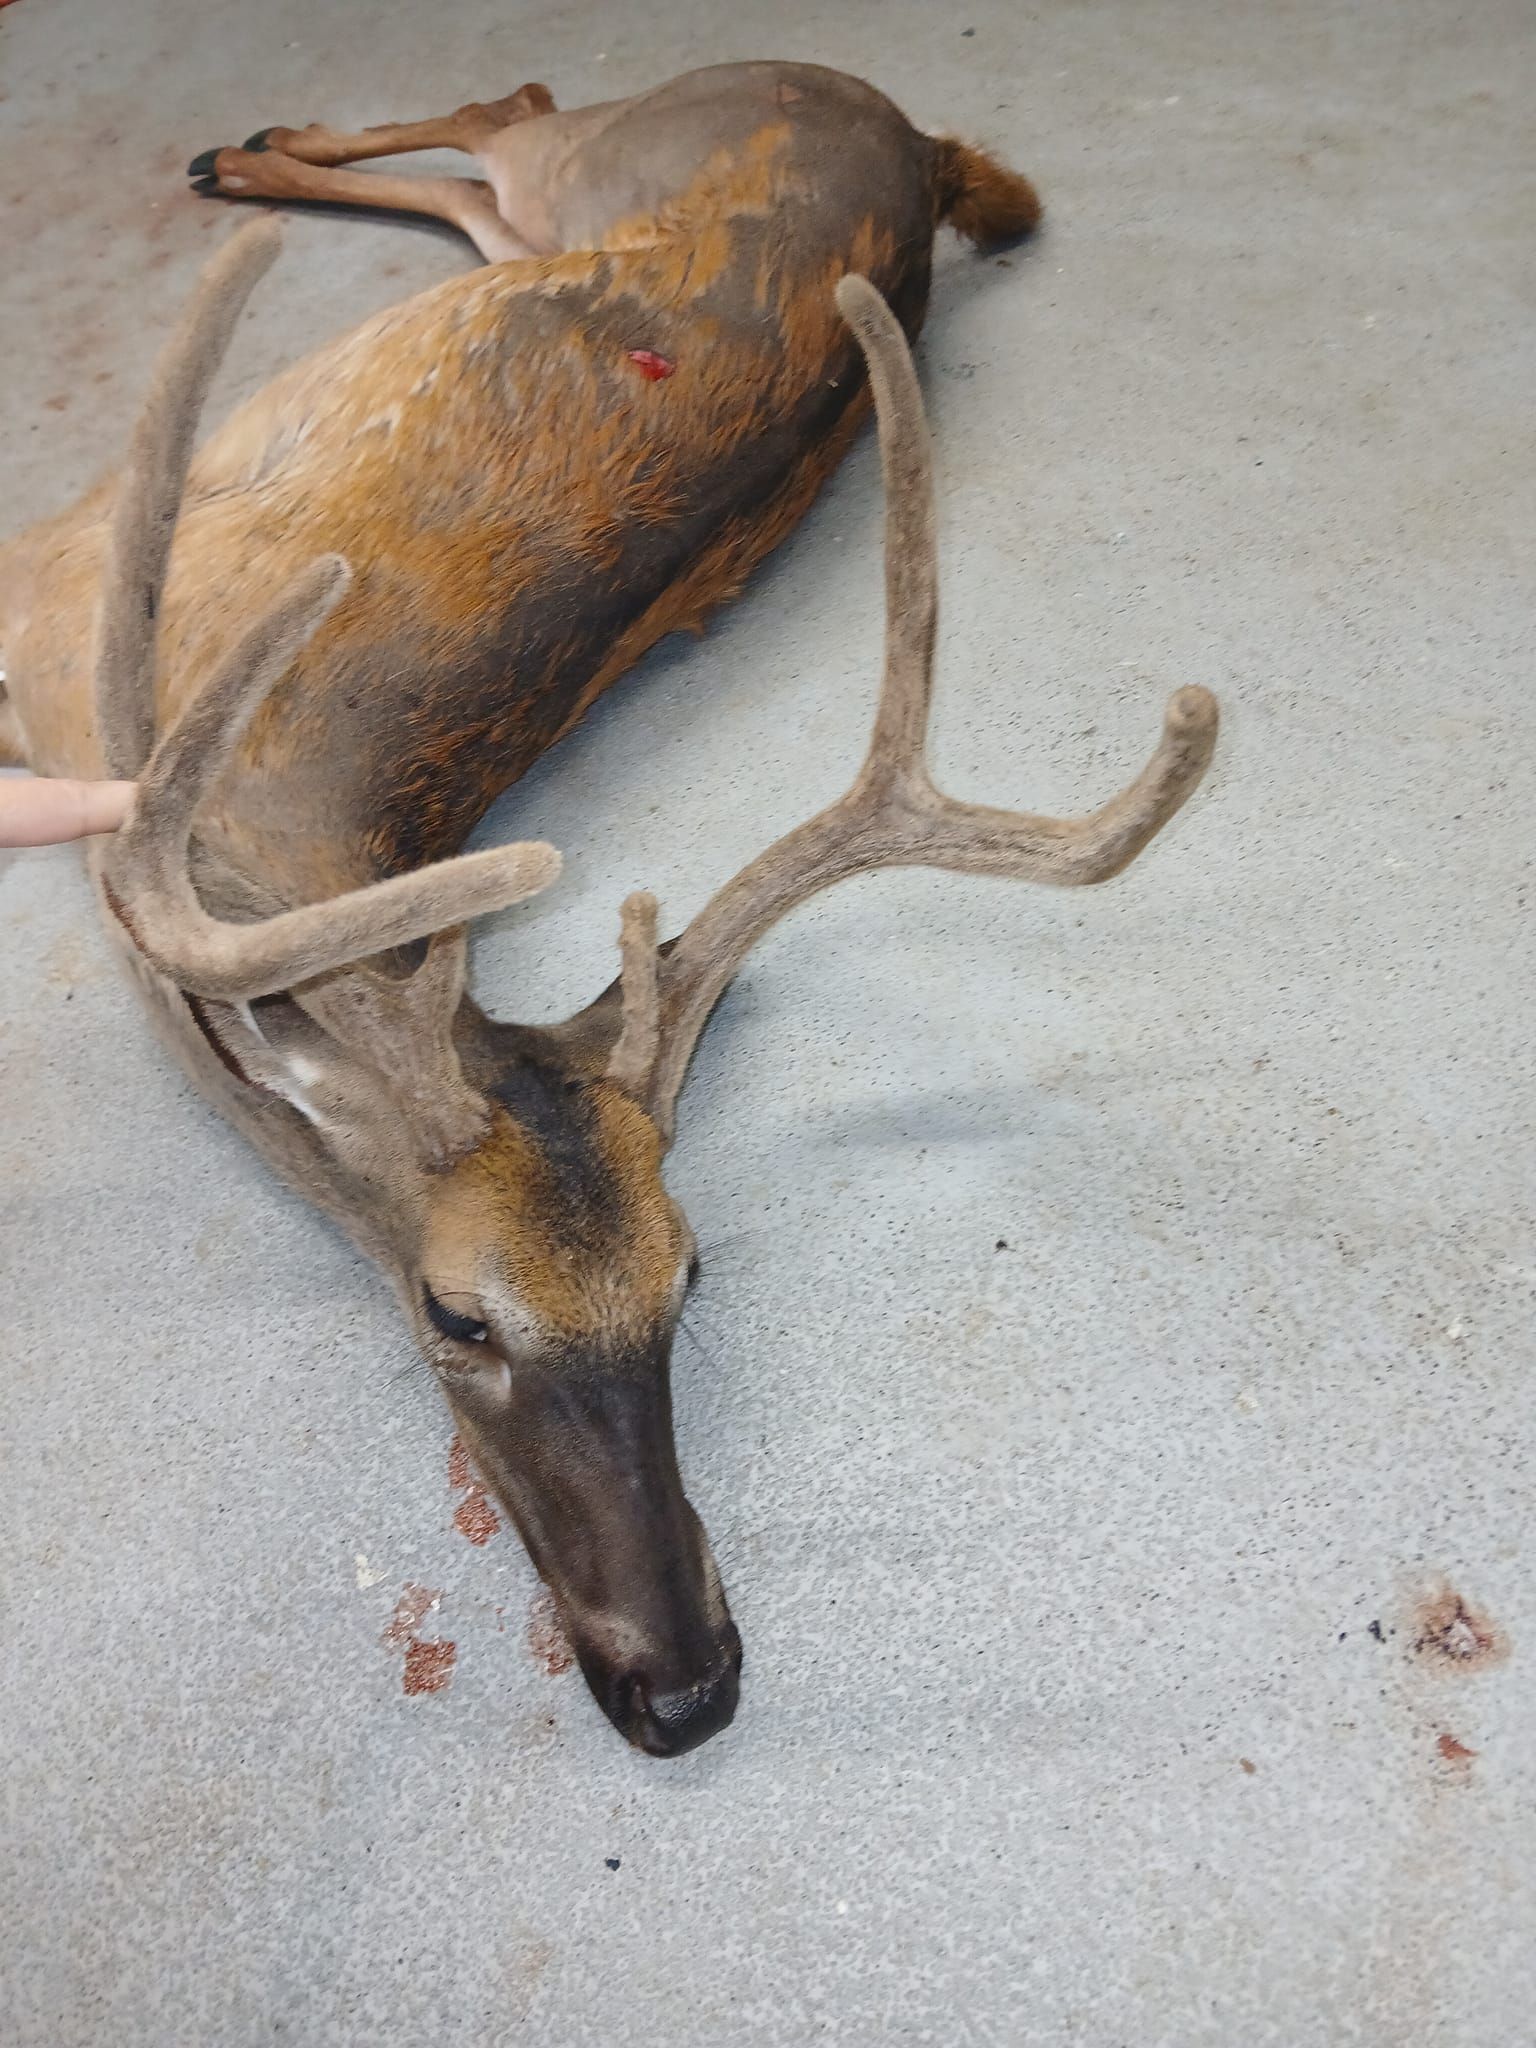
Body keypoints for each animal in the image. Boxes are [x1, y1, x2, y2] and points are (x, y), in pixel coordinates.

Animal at [0, 62, 1218, 1756]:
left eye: (687, 1276)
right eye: (455, 1314)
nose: (688, 1686)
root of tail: (913, 138)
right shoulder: (41, 575)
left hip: (572, 182)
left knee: (491, 126)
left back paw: (250, 157)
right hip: (585, 167)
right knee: (493, 115)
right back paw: (246, 156)